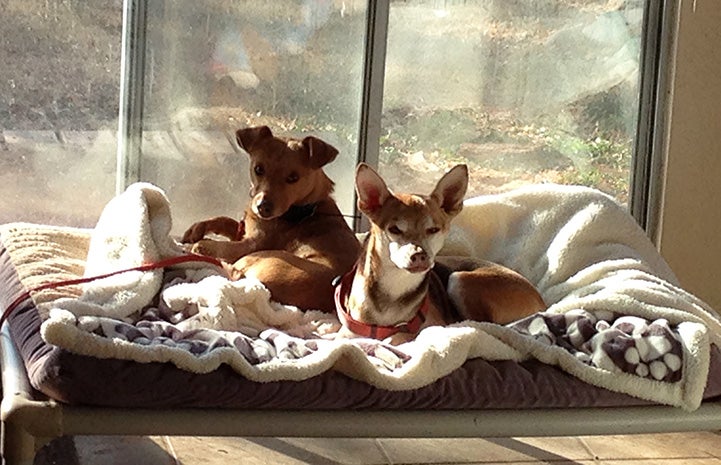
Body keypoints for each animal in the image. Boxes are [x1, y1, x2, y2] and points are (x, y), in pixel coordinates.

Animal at [181, 125, 358, 312]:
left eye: (293, 177)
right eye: (258, 169)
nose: (263, 207)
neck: (304, 208)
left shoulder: (250, 245)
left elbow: (219, 246)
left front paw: (200, 245)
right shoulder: (245, 229)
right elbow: (224, 220)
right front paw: (197, 228)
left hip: (259, 256)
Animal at [334, 162, 544, 340]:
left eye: (433, 230)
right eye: (394, 229)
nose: (419, 254)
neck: (396, 288)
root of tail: (540, 302)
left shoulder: (430, 327)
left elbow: (400, 337)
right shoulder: (349, 333)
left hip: (461, 280)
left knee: (483, 326)